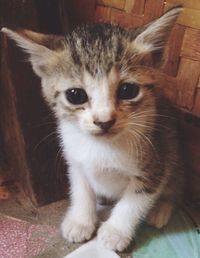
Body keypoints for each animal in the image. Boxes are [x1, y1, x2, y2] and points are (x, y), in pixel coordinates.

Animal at [1, 6, 184, 252]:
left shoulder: (156, 162)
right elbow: (81, 190)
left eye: (128, 90)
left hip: (174, 146)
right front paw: (80, 221)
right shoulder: (74, 160)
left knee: (176, 185)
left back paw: (160, 210)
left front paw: (115, 231)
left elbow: (135, 199)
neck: (101, 147)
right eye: (75, 95)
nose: (104, 120)